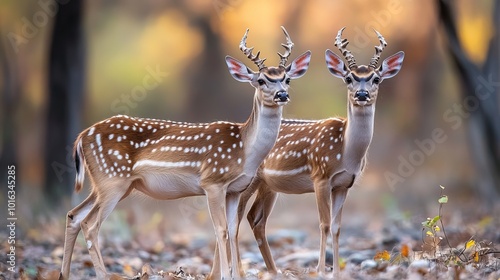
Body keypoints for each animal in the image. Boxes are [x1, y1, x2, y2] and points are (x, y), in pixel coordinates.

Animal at [58, 26, 308, 280]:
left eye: (286, 79)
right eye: (260, 80)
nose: (281, 95)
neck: (245, 150)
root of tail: (82, 137)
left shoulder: (235, 190)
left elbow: (232, 229)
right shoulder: (212, 182)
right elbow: (220, 230)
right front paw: (225, 275)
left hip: (108, 184)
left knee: (74, 215)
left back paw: (63, 274)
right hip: (112, 180)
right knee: (90, 225)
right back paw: (102, 274)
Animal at [235, 27, 406, 278]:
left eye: (376, 78)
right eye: (348, 78)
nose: (362, 95)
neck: (346, 152)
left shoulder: (344, 184)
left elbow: (336, 226)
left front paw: (336, 272)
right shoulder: (321, 176)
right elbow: (323, 224)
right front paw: (321, 270)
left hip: (269, 185)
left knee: (256, 219)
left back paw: (274, 270)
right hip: (250, 180)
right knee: (237, 215)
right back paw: (238, 269)